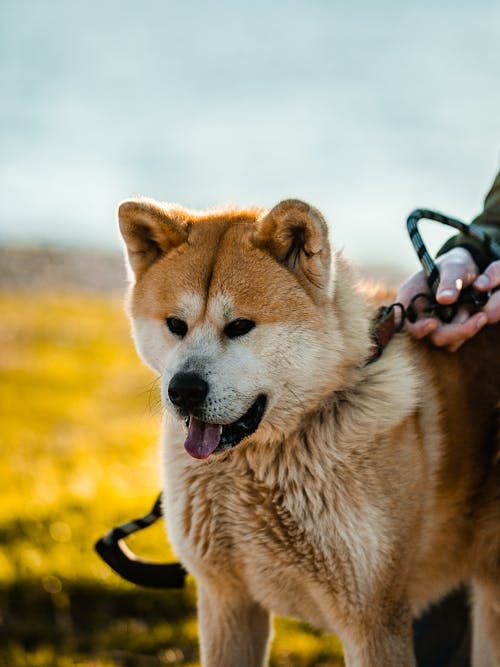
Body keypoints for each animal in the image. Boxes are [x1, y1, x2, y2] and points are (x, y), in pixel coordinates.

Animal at [118, 198, 500, 667]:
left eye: (240, 326)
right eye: (176, 324)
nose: (184, 390)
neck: (259, 462)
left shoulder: (374, 622)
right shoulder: (227, 601)